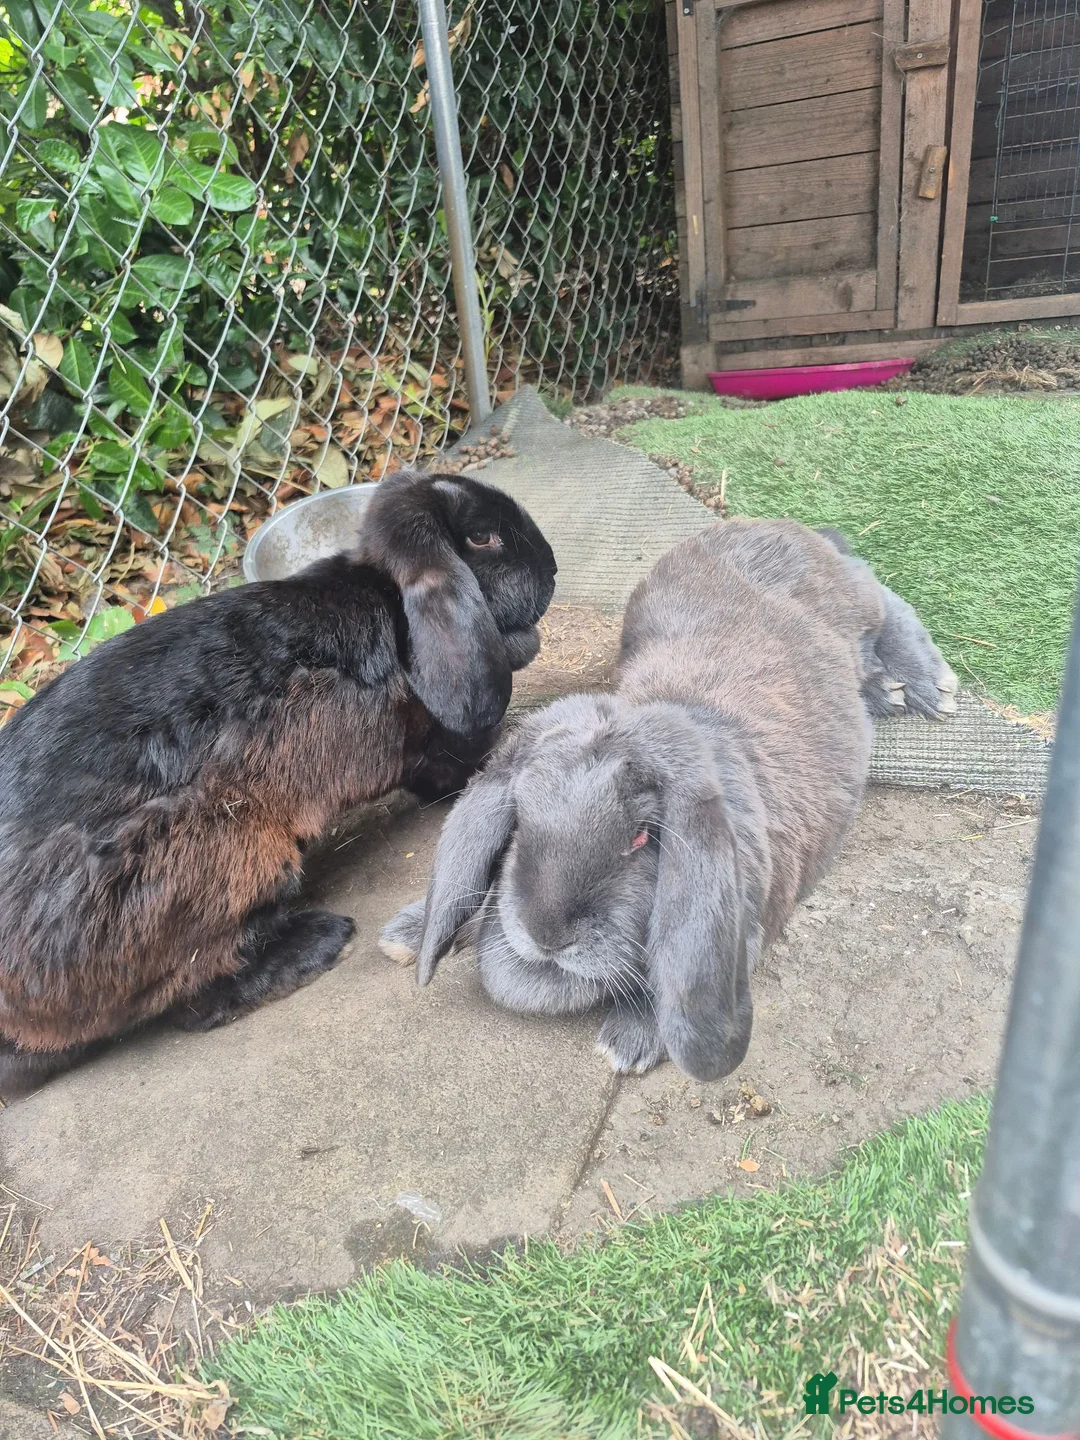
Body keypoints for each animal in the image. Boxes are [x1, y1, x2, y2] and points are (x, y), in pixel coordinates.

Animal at [0, 468, 556, 1098]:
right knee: (194, 1000)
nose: (553, 569)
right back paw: (317, 943)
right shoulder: (425, 745)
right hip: (227, 845)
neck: (387, 601)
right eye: (483, 538)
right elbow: (447, 767)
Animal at [381, 517, 956, 1082]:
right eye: (519, 825)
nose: (548, 936)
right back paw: (886, 689)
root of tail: (778, 525)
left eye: (641, 838)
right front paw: (406, 932)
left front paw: (628, 1041)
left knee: (879, 593)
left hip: (848, 597)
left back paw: (926, 687)